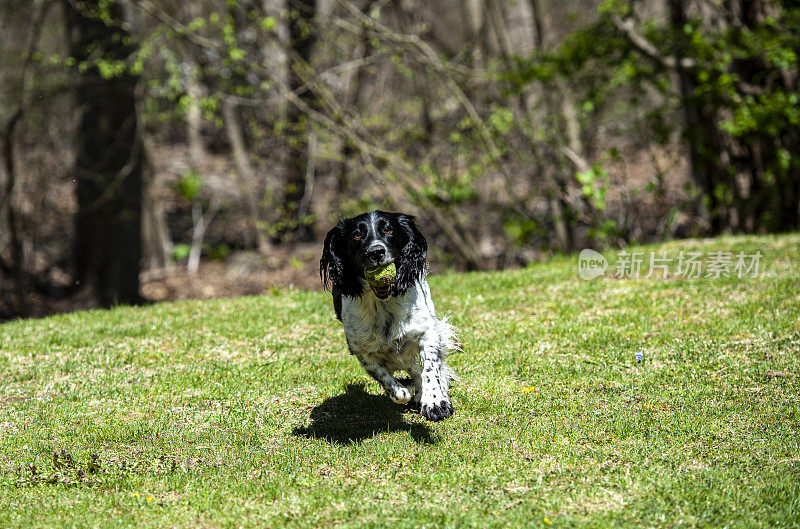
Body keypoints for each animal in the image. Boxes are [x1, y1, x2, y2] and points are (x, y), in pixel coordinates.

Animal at [320, 210, 456, 420]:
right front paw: (408, 392)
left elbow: (430, 368)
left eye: (388, 230)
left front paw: (435, 402)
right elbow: (391, 384)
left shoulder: (427, 332)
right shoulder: (362, 352)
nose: (376, 251)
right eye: (357, 235)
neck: (383, 303)